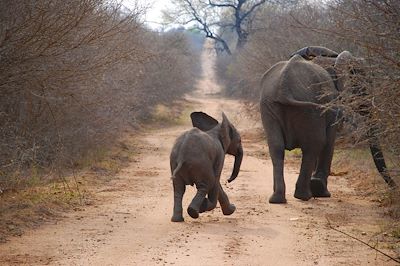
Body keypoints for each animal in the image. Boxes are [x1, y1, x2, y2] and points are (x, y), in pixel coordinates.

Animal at [260, 46, 396, 204]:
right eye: (363, 85)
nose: (394, 187)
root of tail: (284, 87)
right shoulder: (332, 104)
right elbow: (329, 141)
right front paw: (322, 192)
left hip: (269, 106)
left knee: (276, 147)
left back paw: (277, 199)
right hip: (311, 109)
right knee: (315, 144)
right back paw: (306, 195)